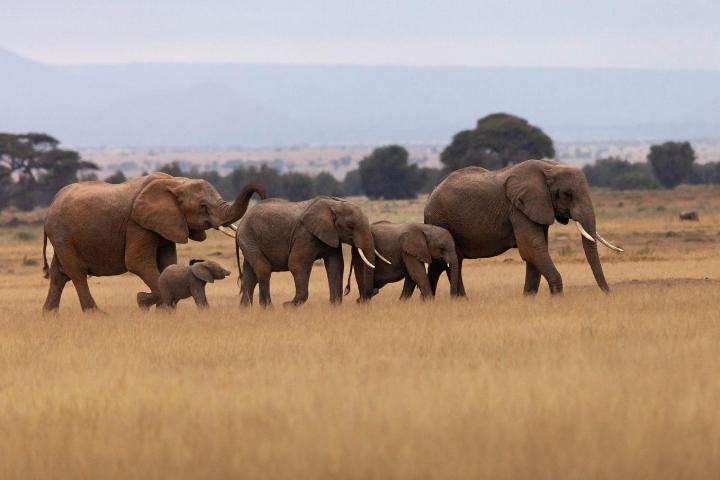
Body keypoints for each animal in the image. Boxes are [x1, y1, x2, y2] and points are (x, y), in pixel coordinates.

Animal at [42, 172, 266, 312]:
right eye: (202, 206)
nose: (263, 196)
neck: (175, 183)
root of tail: (51, 203)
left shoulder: (167, 224)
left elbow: (168, 263)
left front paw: (157, 307)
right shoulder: (136, 223)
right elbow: (137, 262)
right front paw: (144, 301)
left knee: (59, 275)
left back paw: (49, 315)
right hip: (62, 235)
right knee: (77, 273)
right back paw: (96, 314)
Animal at [235, 196, 380, 307]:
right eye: (350, 227)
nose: (374, 291)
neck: (333, 204)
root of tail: (241, 223)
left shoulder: (331, 235)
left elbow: (335, 265)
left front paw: (335, 306)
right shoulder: (304, 234)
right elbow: (297, 264)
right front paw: (287, 306)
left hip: (249, 240)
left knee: (250, 276)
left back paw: (245, 311)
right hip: (248, 237)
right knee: (263, 269)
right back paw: (268, 308)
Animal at [424, 160, 623, 296]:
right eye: (568, 194)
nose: (608, 293)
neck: (549, 167)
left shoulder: (537, 208)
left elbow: (536, 251)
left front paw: (528, 299)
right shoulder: (518, 208)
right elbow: (533, 248)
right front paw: (557, 298)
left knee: (446, 263)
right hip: (440, 219)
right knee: (449, 262)